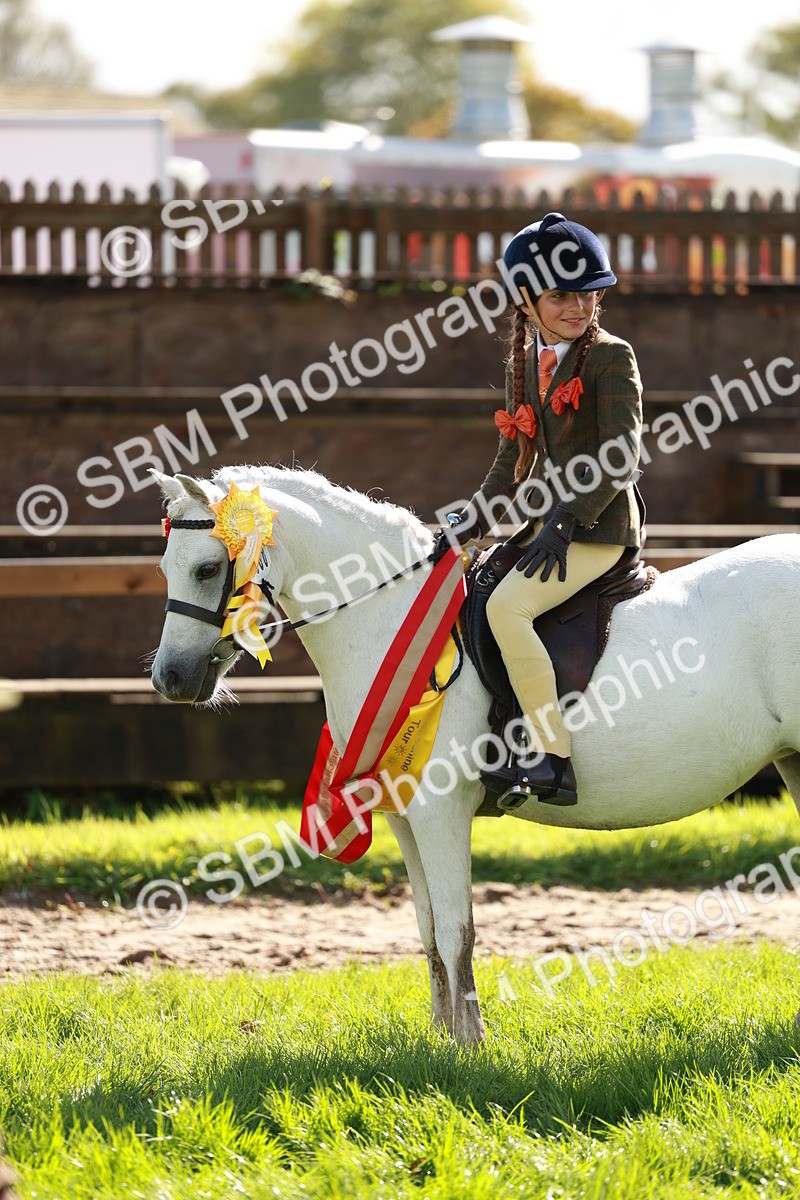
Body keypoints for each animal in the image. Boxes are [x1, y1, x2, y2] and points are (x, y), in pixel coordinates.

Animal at [151, 465, 800, 1043]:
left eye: (208, 568)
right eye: (165, 568)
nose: (170, 678)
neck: (389, 618)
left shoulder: (440, 813)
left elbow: (457, 931)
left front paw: (468, 1048)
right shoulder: (405, 818)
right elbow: (428, 931)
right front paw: (441, 1041)